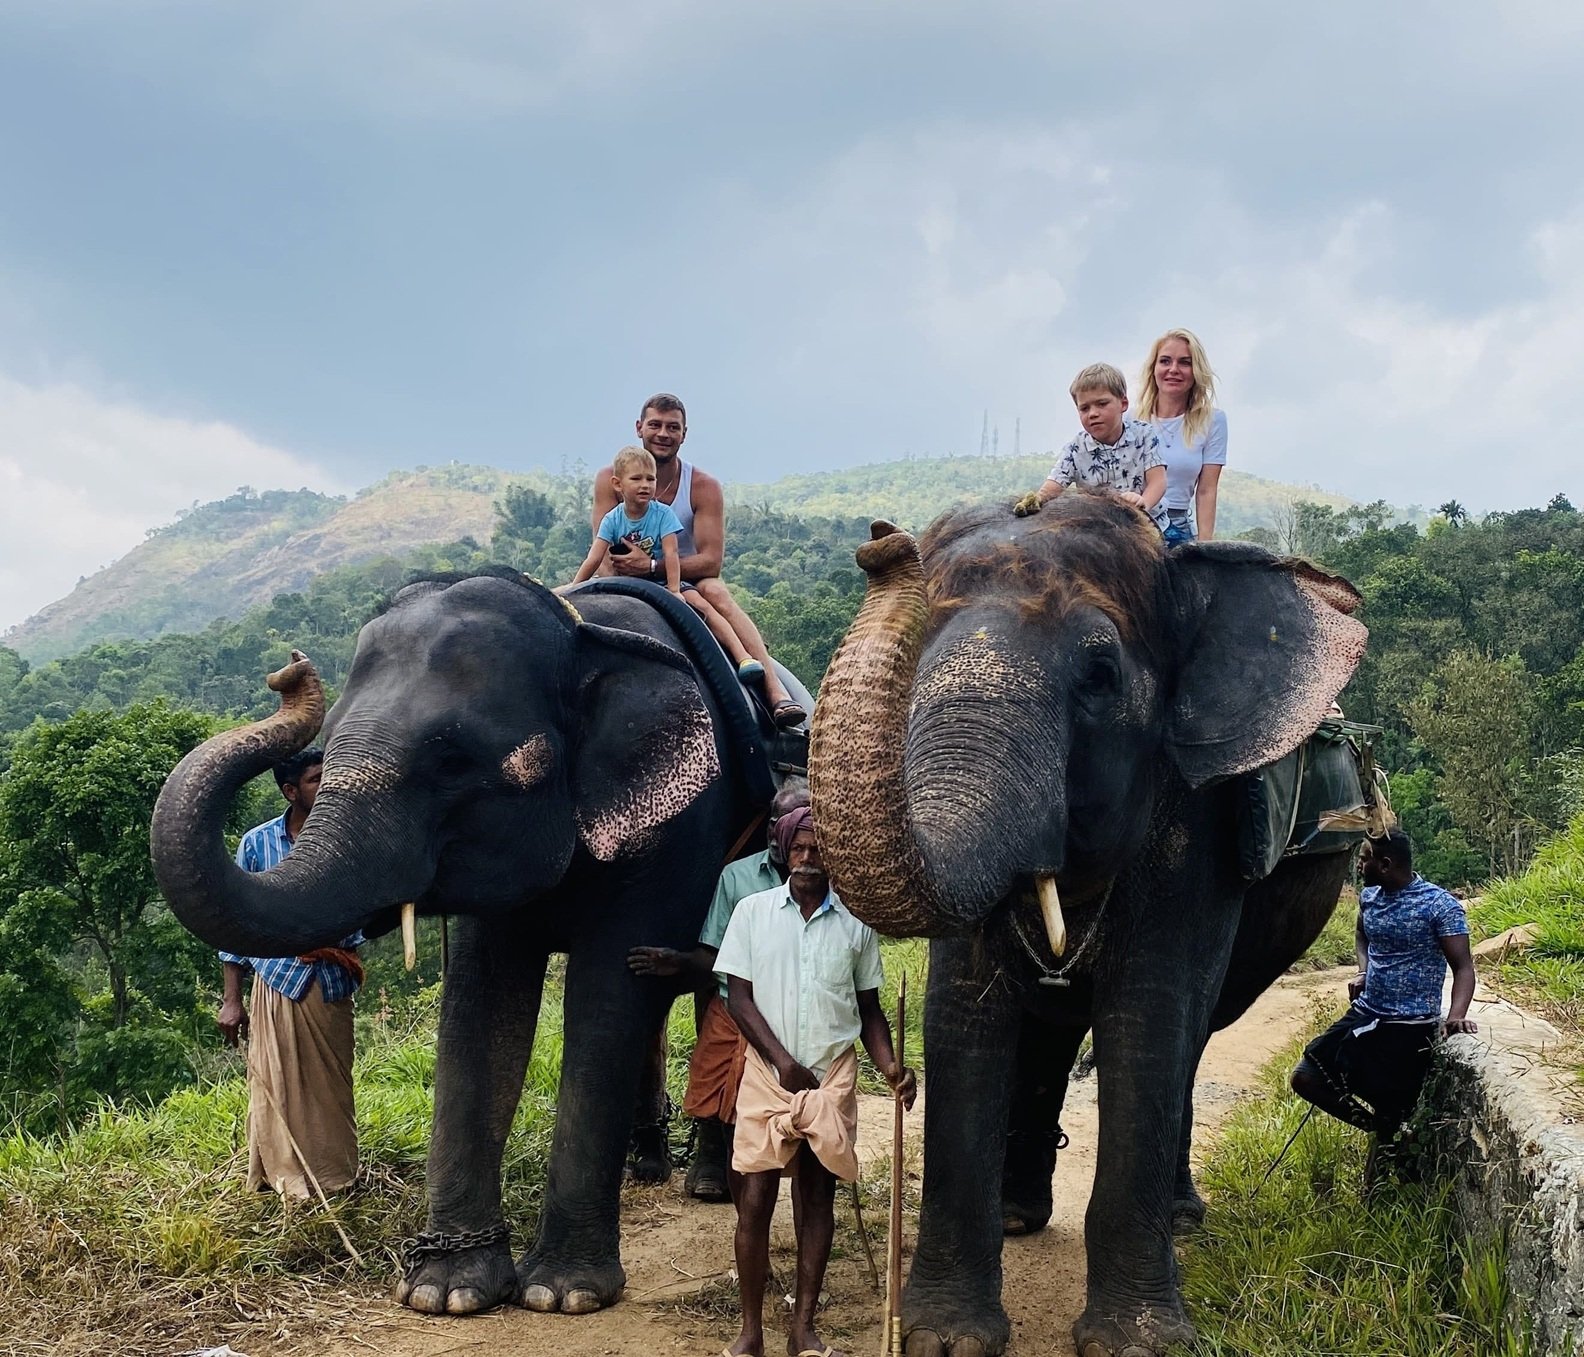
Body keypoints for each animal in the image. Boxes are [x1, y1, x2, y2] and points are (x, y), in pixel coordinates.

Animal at [152, 569, 806, 1318]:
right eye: (331, 739)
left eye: (451, 760)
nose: (287, 670)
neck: (579, 633)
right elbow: (482, 1004)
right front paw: (447, 1291)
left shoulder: (680, 822)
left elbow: (606, 993)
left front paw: (562, 1294)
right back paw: (649, 1168)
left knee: (711, 999)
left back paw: (708, 1183)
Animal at [807, 492, 1368, 1357]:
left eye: (1099, 676)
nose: (880, 545)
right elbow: (963, 1011)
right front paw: (946, 1340)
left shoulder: (1195, 825)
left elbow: (1149, 1016)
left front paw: (1138, 1344)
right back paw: (1018, 1213)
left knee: (1190, 1036)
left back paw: (1181, 1216)